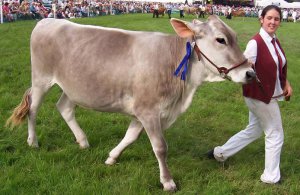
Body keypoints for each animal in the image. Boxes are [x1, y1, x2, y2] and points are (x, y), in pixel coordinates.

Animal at [6, 15, 255, 192]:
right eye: (221, 39)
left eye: (235, 36)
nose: (250, 73)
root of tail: (48, 20)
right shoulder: (149, 110)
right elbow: (160, 147)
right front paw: (168, 182)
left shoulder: (143, 111)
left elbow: (130, 137)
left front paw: (111, 157)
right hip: (41, 78)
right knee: (33, 109)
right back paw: (33, 141)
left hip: (75, 86)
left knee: (64, 108)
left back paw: (83, 141)